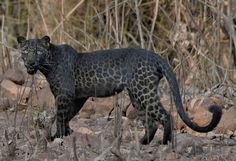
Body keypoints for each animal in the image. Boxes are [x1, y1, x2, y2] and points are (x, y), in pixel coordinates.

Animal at [17, 35, 222, 144]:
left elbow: (60, 116)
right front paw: (65, 135)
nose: (30, 62)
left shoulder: (64, 95)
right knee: (150, 122)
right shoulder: (77, 97)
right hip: (136, 95)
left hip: (144, 92)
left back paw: (164, 143)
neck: (47, 65)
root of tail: (156, 56)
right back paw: (142, 143)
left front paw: (57, 137)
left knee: (165, 115)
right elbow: (67, 116)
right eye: (25, 51)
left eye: (38, 51)